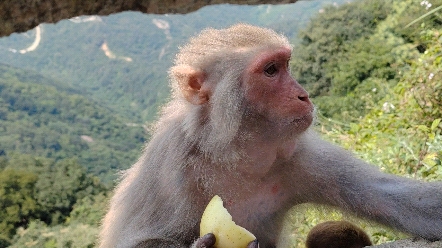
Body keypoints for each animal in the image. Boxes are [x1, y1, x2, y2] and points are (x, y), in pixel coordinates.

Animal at [98, 23, 442, 248]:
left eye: (285, 65)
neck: (236, 152)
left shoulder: (297, 155)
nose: (303, 95)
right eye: (270, 70)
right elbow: (138, 239)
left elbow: (401, 201)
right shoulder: (171, 166)